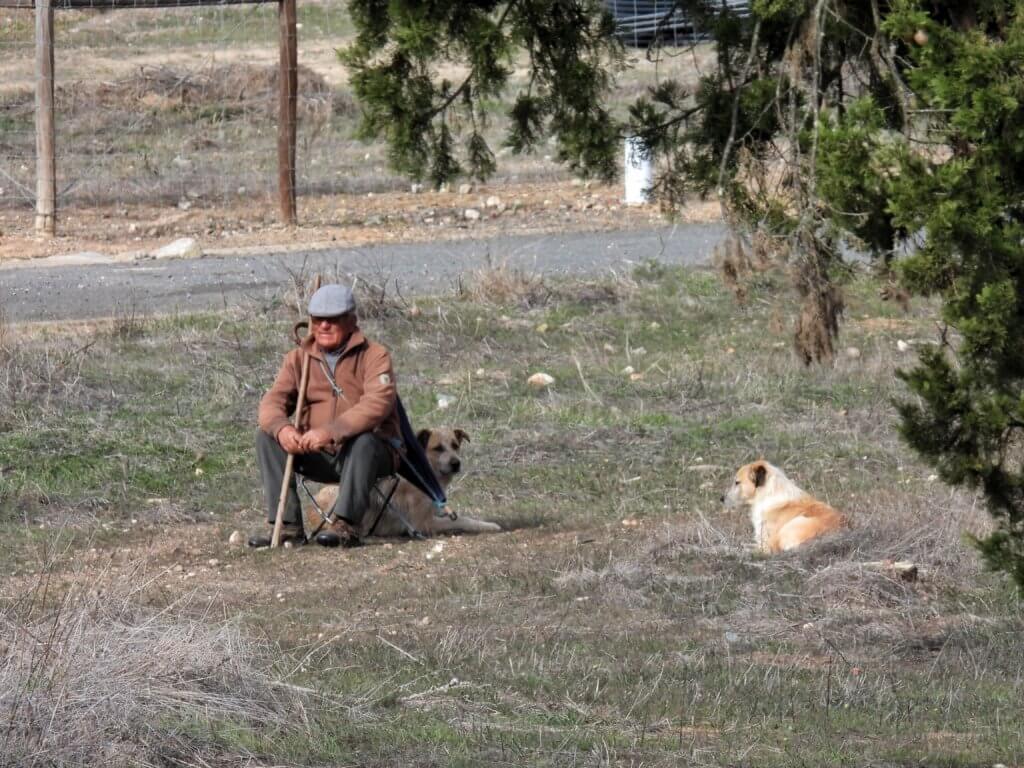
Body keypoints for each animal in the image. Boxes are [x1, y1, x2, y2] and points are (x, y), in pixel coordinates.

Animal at [311, 428, 503, 540]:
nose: (456, 463)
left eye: (455, 445)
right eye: (438, 448)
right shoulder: (422, 524)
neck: (425, 474)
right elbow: (461, 520)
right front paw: (489, 526)